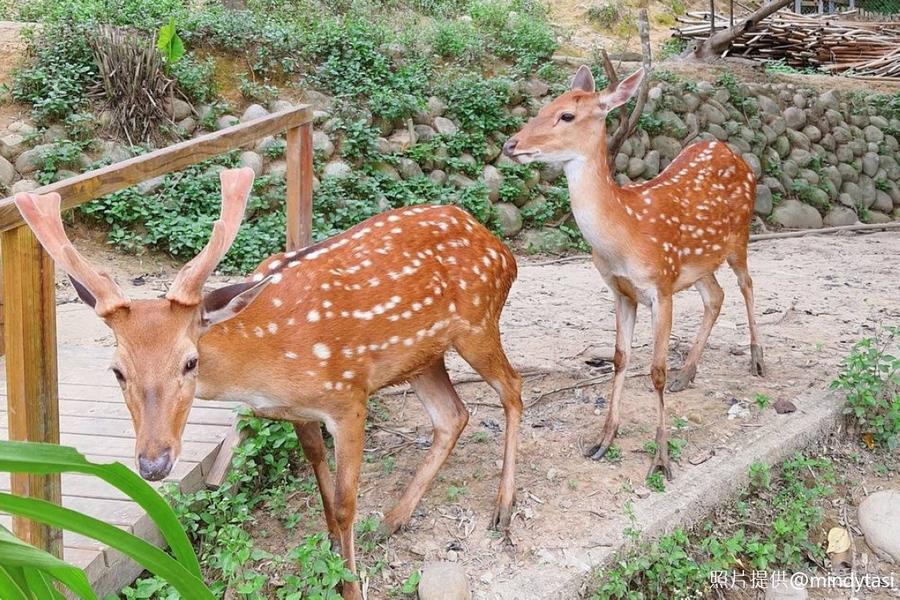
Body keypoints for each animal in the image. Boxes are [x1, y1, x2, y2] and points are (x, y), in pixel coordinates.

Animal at [12, 166, 520, 596]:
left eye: (190, 362)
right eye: (117, 370)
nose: (153, 464)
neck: (267, 366)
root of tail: (502, 248)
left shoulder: (348, 396)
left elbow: (344, 501)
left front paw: (350, 585)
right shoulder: (297, 413)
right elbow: (318, 476)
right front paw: (334, 550)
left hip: (478, 324)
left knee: (512, 388)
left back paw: (502, 508)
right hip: (422, 358)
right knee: (453, 415)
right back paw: (393, 519)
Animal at [502, 65, 764, 478]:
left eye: (567, 115)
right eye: (544, 106)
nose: (510, 145)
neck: (625, 235)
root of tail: (733, 153)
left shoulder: (661, 286)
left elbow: (655, 370)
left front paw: (662, 458)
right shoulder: (622, 291)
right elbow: (619, 359)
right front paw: (603, 439)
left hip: (739, 237)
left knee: (747, 284)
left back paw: (757, 358)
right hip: (698, 263)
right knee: (716, 295)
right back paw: (687, 373)